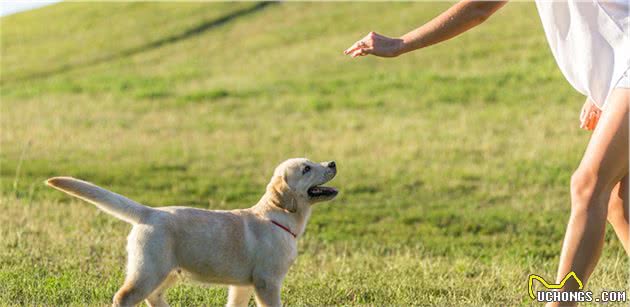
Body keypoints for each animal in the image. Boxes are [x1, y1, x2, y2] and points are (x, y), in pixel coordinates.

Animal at [46, 159, 338, 307]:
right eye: (306, 169)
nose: (332, 163)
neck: (277, 216)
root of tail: (148, 212)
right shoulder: (267, 282)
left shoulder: (243, 284)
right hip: (149, 269)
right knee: (125, 297)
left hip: (167, 272)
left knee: (153, 296)